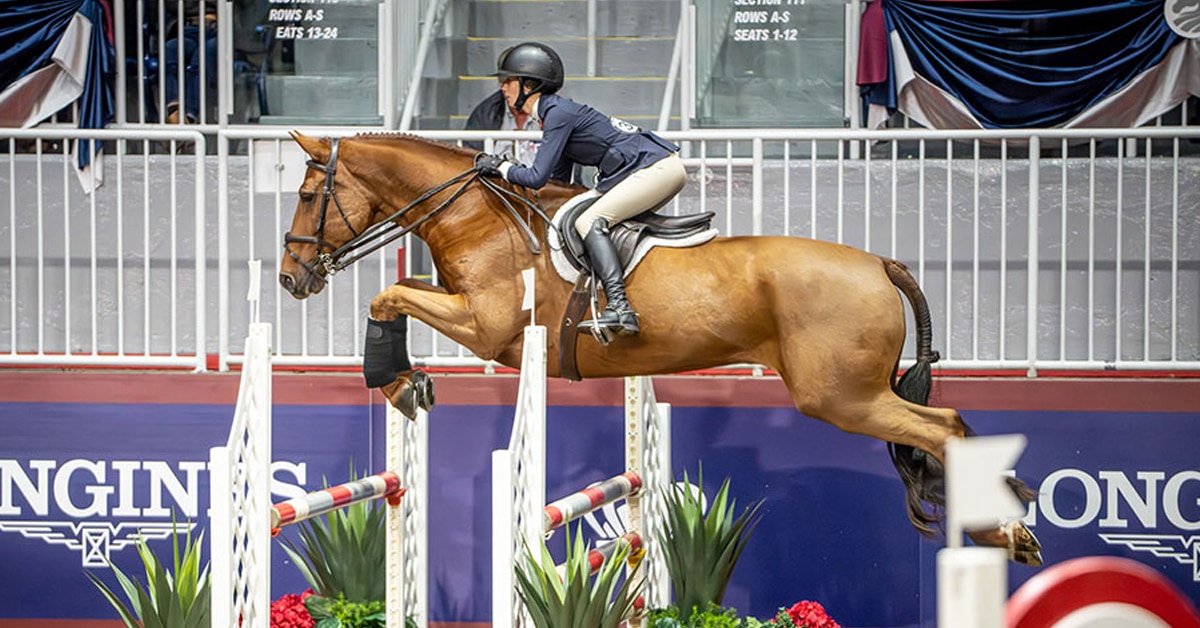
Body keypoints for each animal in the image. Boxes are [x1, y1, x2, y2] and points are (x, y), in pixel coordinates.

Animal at [278, 131, 1043, 566]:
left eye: (311, 194)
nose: (290, 277)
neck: (476, 217)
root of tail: (880, 261)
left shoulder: (490, 329)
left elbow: (389, 295)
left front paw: (397, 381)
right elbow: (401, 289)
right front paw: (407, 382)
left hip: (841, 396)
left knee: (943, 427)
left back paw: (1003, 531)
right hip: (852, 394)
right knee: (944, 428)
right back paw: (1005, 530)